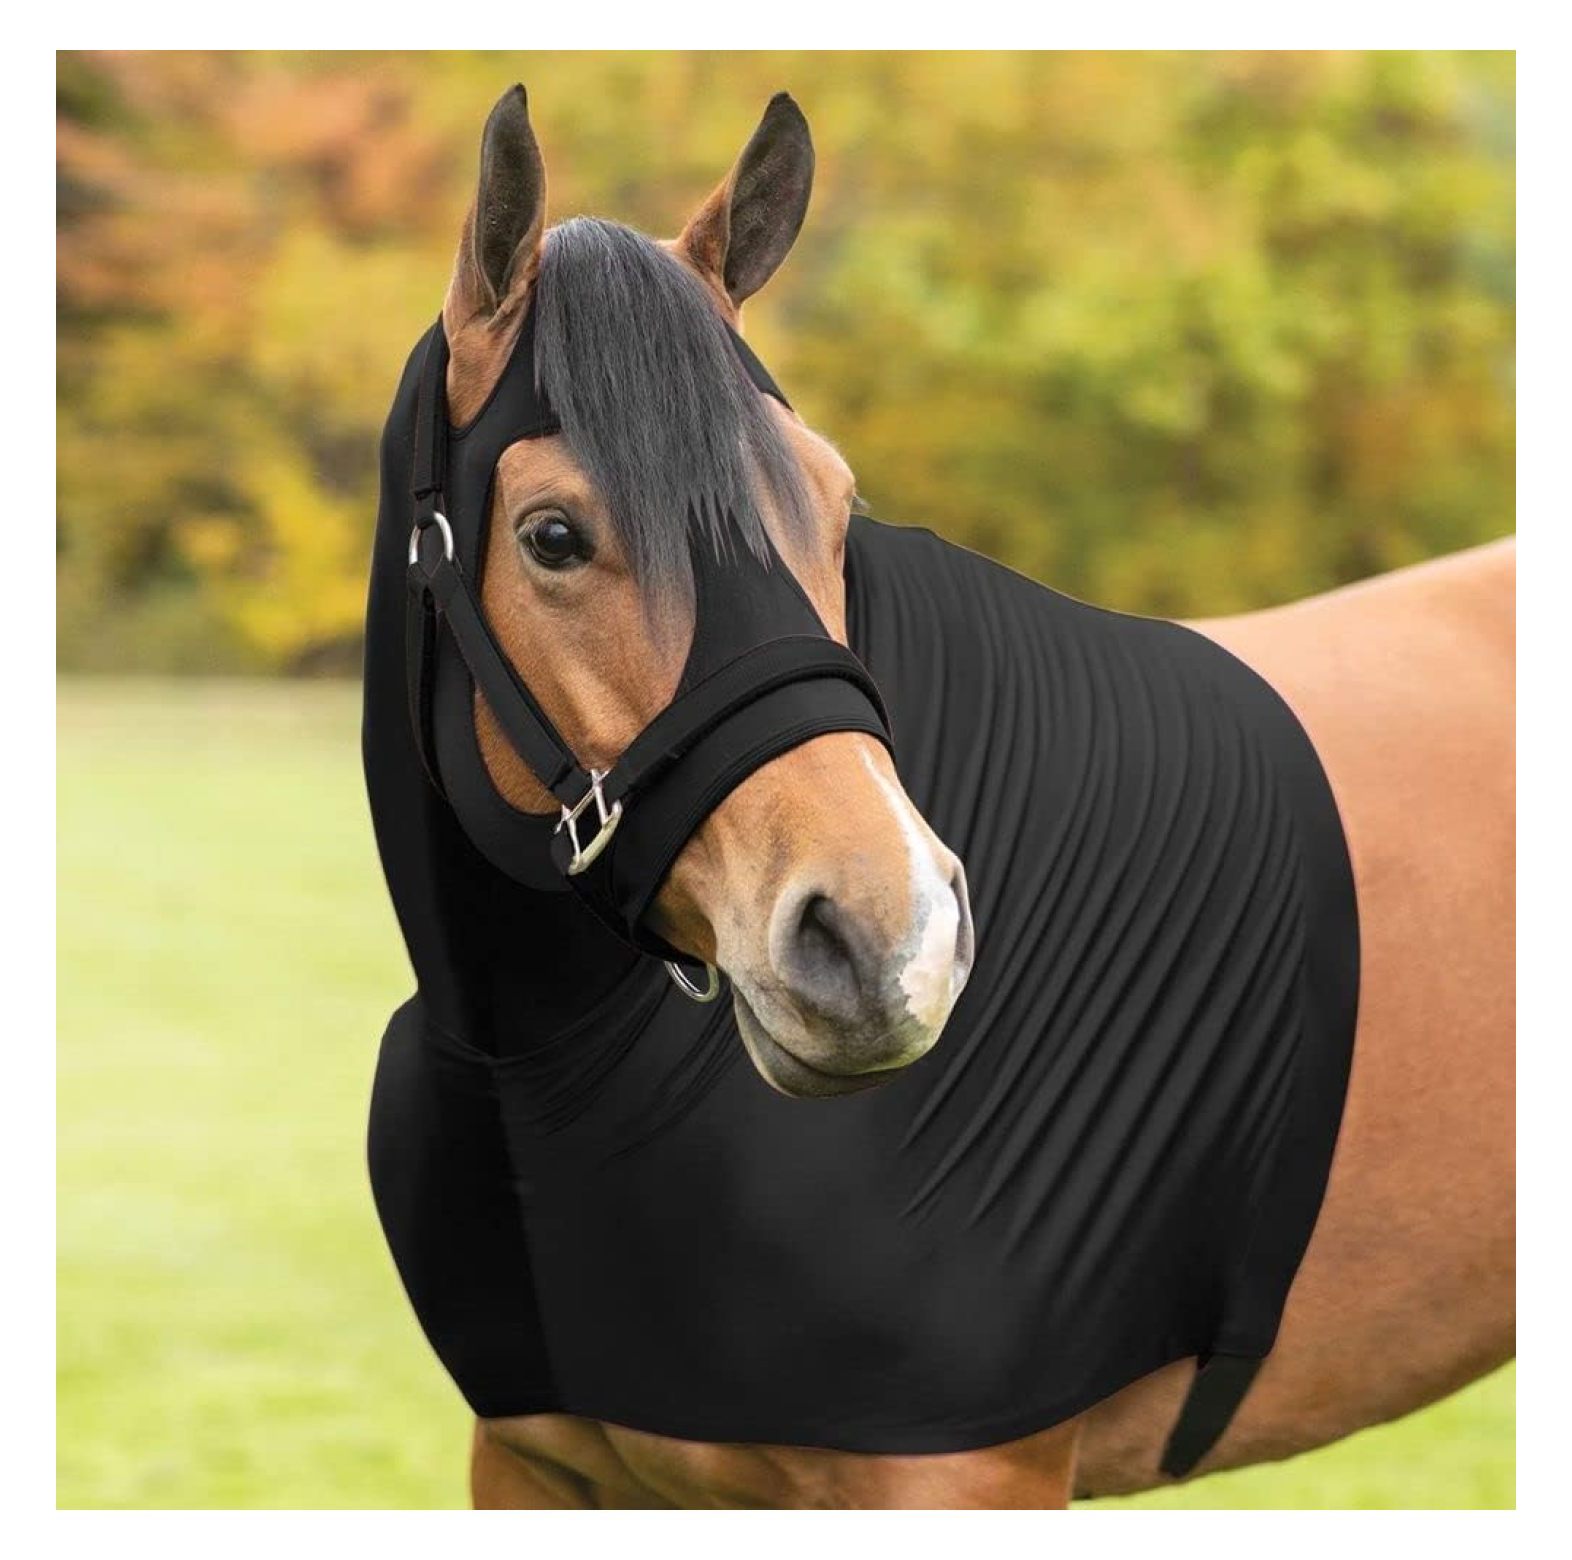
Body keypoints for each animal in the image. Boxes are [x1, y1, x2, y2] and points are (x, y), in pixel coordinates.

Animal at [365, 86, 1514, 1509]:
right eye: (553, 538)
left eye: (836, 501)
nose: (888, 942)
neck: (536, 1073)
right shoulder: (533, 1467)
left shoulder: (961, 1477)